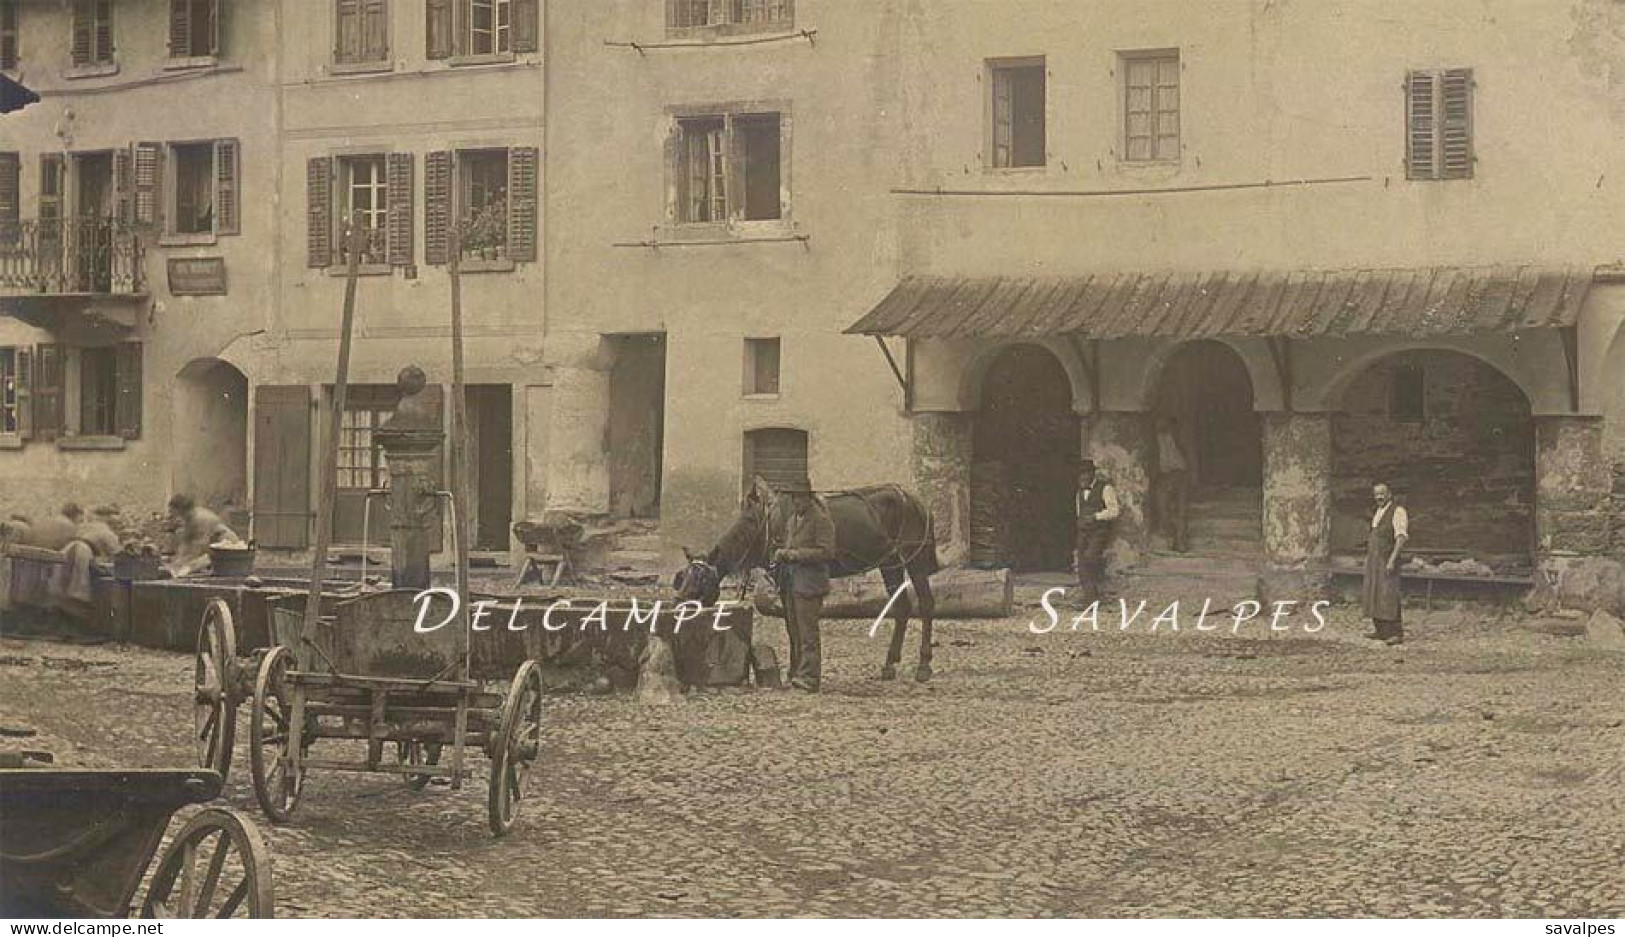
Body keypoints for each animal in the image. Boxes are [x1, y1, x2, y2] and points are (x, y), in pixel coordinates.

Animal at [666, 474, 942, 678]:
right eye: (682, 578)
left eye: (701, 582)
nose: (677, 609)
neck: (762, 527)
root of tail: (917, 501)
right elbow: (792, 624)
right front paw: (794, 669)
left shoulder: (786, 577)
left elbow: (794, 623)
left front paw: (796, 670)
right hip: (890, 562)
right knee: (902, 606)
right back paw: (889, 664)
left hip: (914, 559)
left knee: (926, 604)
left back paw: (924, 665)